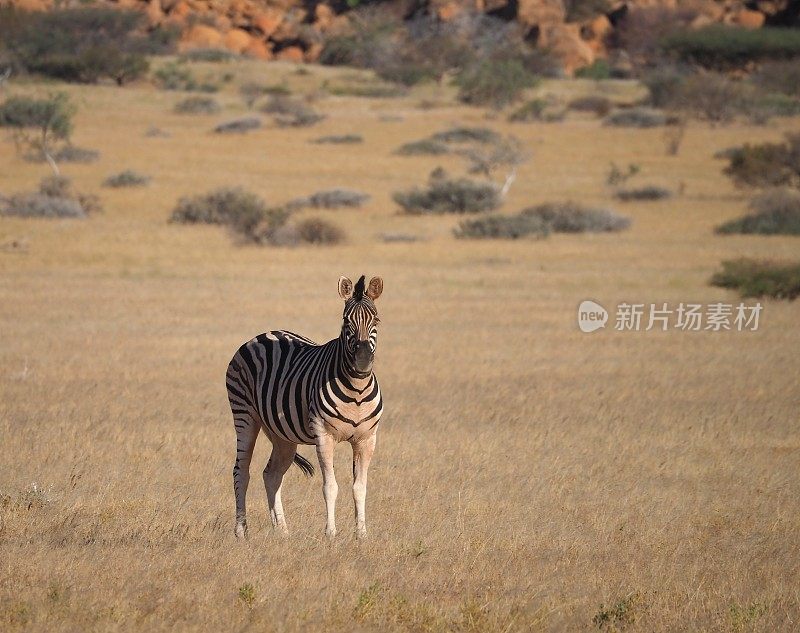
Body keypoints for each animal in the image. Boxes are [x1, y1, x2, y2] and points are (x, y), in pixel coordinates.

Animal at [225, 274, 384, 536]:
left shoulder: (367, 439)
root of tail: (263, 335)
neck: (357, 390)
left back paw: (282, 532)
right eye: (345, 321)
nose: (362, 361)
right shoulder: (323, 436)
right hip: (244, 415)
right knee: (241, 472)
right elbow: (330, 486)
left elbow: (360, 487)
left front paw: (361, 535)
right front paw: (331, 534)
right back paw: (241, 531)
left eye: (376, 320)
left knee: (271, 474)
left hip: (282, 435)